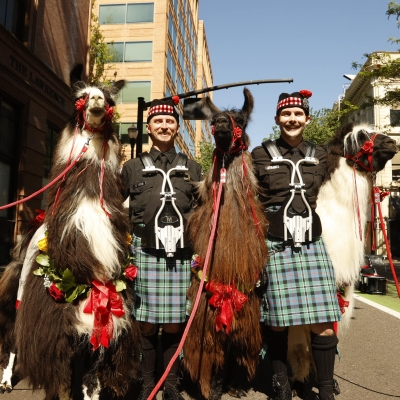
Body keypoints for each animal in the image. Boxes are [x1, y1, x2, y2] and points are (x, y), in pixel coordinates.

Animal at [0, 80, 141, 399]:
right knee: (11, 337)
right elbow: (62, 387)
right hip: (17, 296)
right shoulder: (54, 336)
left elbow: (92, 385)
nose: (97, 100)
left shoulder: (102, 332)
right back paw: (4, 381)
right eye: (81, 97)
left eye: (109, 99)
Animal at [182, 88, 269, 399]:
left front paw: (235, 387)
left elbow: (234, 355)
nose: (220, 122)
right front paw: (215, 390)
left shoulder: (246, 320)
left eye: (240, 120)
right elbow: (214, 357)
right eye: (215, 118)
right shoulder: (207, 320)